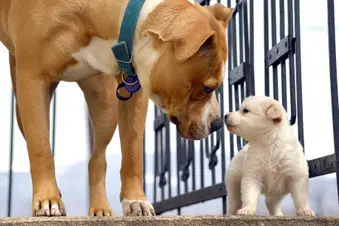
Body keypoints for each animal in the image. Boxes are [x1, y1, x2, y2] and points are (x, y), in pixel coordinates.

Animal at [0, 0, 234, 217]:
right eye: (208, 88)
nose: (217, 123)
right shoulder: (32, 80)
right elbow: (40, 148)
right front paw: (48, 199)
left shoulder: (134, 86)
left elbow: (132, 149)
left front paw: (136, 200)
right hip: (23, 107)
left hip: (105, 106)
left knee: (97, 159)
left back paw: (100, 208)